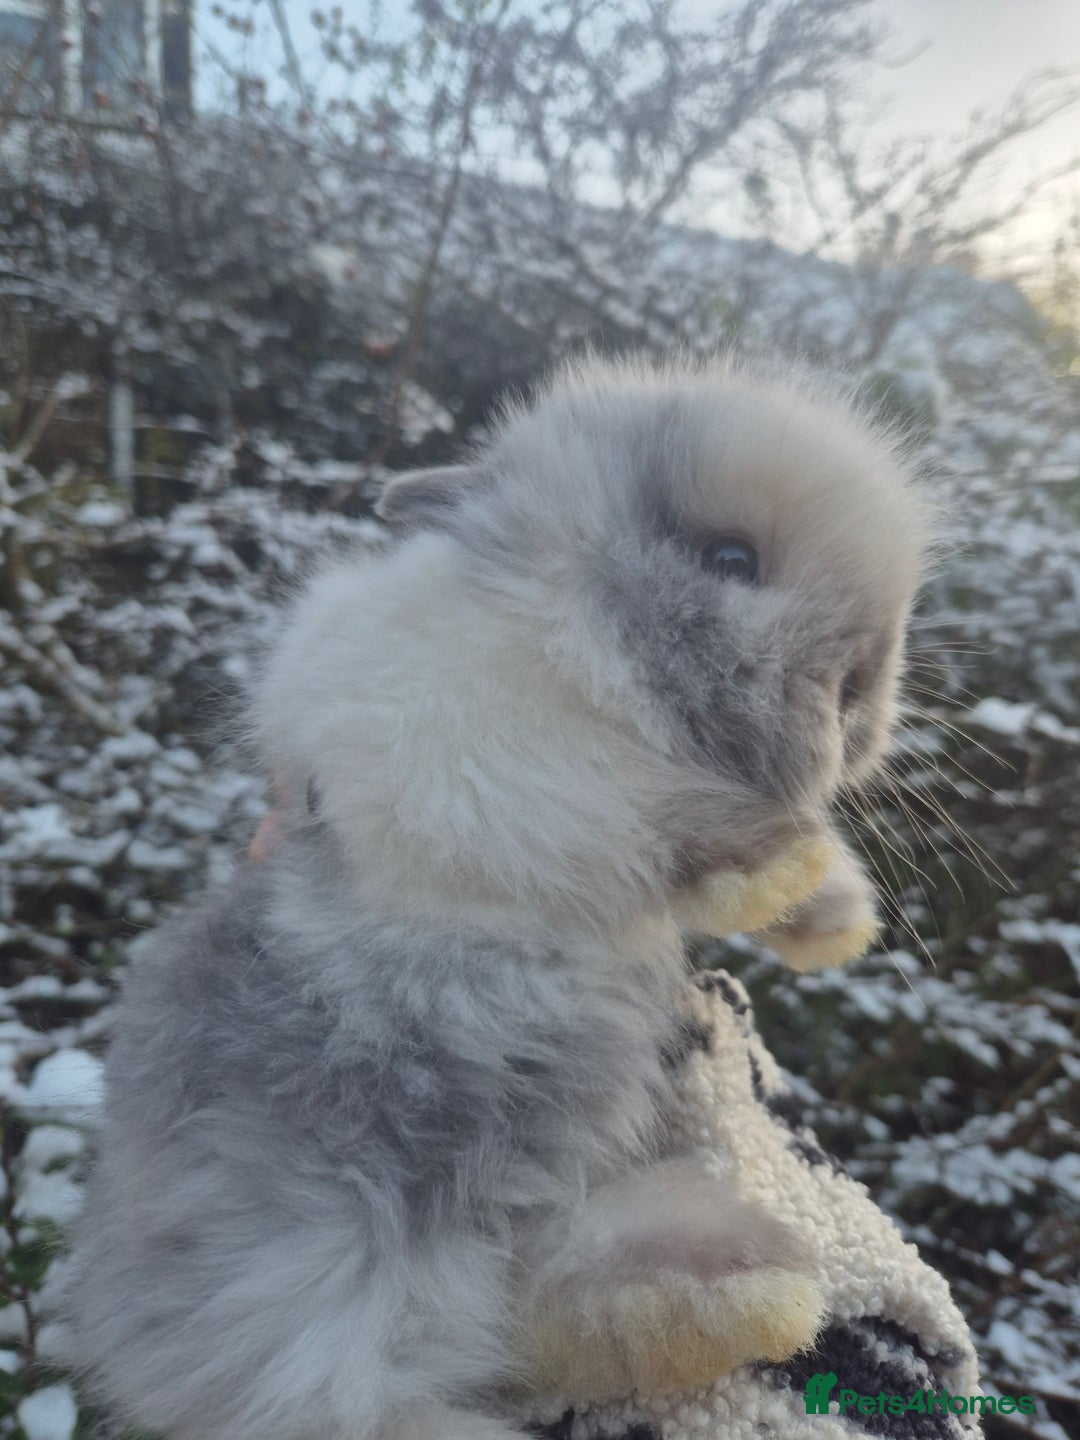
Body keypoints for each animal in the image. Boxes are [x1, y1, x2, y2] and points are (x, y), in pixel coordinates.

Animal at [66, 353, 934, 1440]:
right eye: (732, 558)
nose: (862, 690)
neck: (568, 637)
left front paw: (831, 915)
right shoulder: (481, 759)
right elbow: (638, 815)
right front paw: (773, 867)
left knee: (541, 1296)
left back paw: (728, 1290)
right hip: (311, 1268)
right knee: (381, 1378)